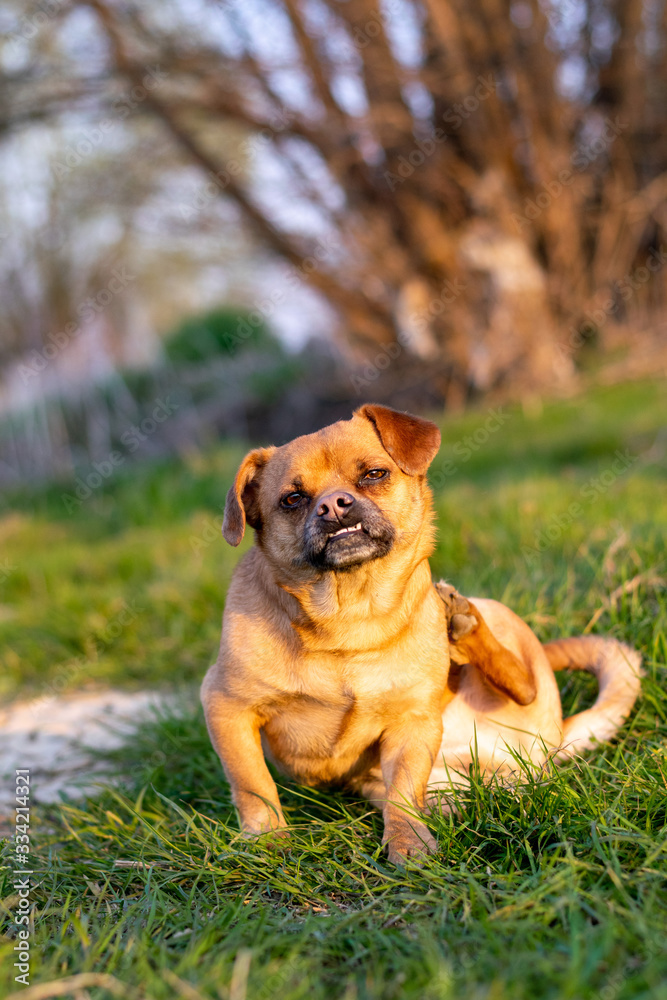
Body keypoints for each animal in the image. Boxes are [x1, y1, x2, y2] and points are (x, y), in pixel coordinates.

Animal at [201, 402, 644, 864]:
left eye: (373, 474)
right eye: (292, 499)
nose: (334, 506)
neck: (350, 618)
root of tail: (551, 741)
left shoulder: (412, 722)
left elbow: (403, 791)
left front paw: (408, 843)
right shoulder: (226, 707)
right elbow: (252, 785)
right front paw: (266, 839)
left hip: (494, 618)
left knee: (524, 683)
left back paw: (462, 628)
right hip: (443, 785)